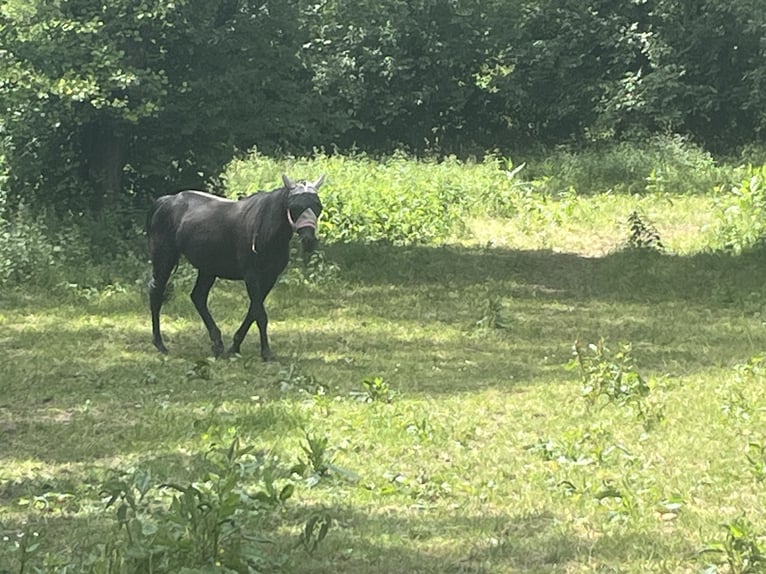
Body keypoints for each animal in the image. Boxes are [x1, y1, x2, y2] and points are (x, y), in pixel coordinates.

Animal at [147, 173, 325, 361]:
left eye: (318, 206)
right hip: (164, 259)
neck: (264, 229)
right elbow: (260, 314)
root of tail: (166, 201)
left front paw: (235, 347)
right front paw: (266, 353)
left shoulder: (270, 278)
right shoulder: (251, 275)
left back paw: (217, 344)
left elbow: (253, 311)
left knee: (198, 297)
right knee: (156, 292)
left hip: (208, 269)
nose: (309, 240)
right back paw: (160, 344)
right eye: (295, 207)